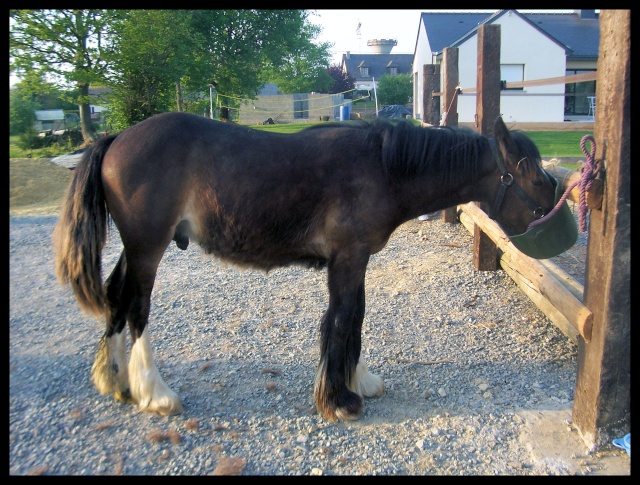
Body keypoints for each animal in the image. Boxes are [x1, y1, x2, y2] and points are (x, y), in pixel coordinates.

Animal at [53, 112, 560, 420]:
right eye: (536, 178)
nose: (555, 223)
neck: (383, 167)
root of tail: (116, 138)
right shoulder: (348, 258)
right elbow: (341, 321)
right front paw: (339, 400)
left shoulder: (355, 260)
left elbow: (354, 320)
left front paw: (359, 381)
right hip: (147, 247)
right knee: (137, 307)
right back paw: (153, 393)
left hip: (135, 248)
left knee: (116, 298)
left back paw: (115, 381)